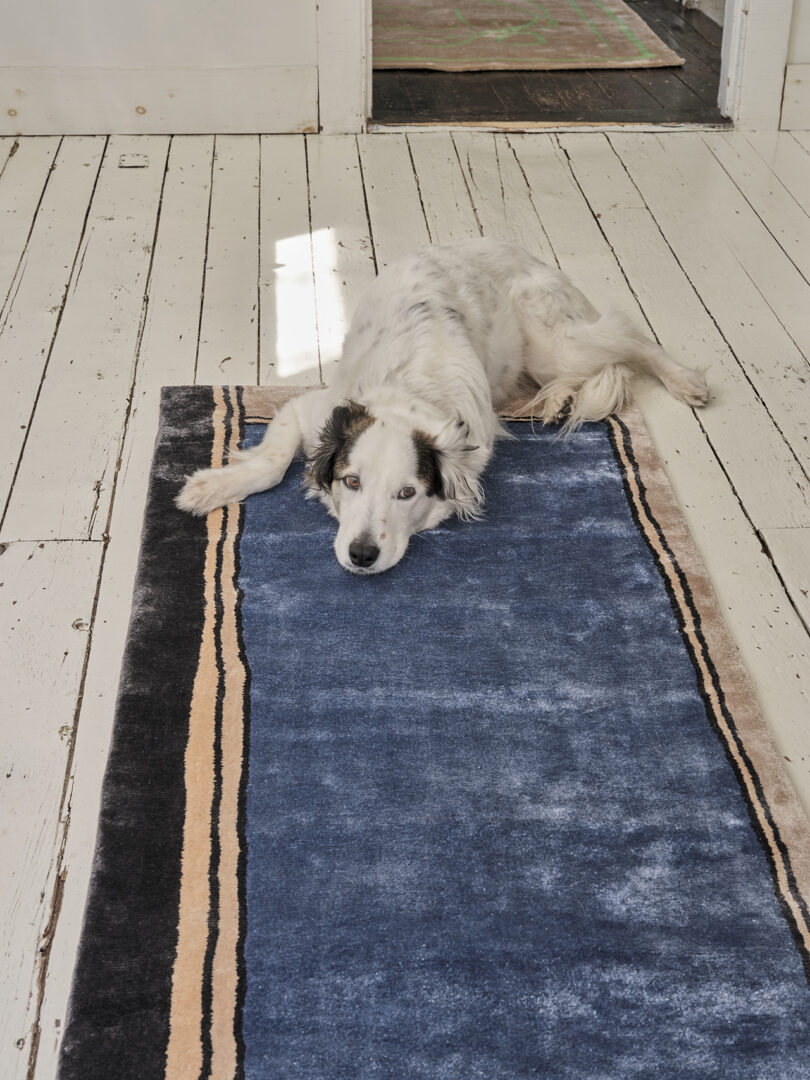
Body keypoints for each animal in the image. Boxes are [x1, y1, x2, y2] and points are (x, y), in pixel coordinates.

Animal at [176, 236, 704, 574]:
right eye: (351, 481)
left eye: (407, 492)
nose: (362, 556)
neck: (407, 394)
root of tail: (516, 248)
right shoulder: (309, 410)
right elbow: (270, 464)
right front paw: (210, 488)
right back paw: (557, 400)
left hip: (558, 342)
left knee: (632, 340)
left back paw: (684, 380)